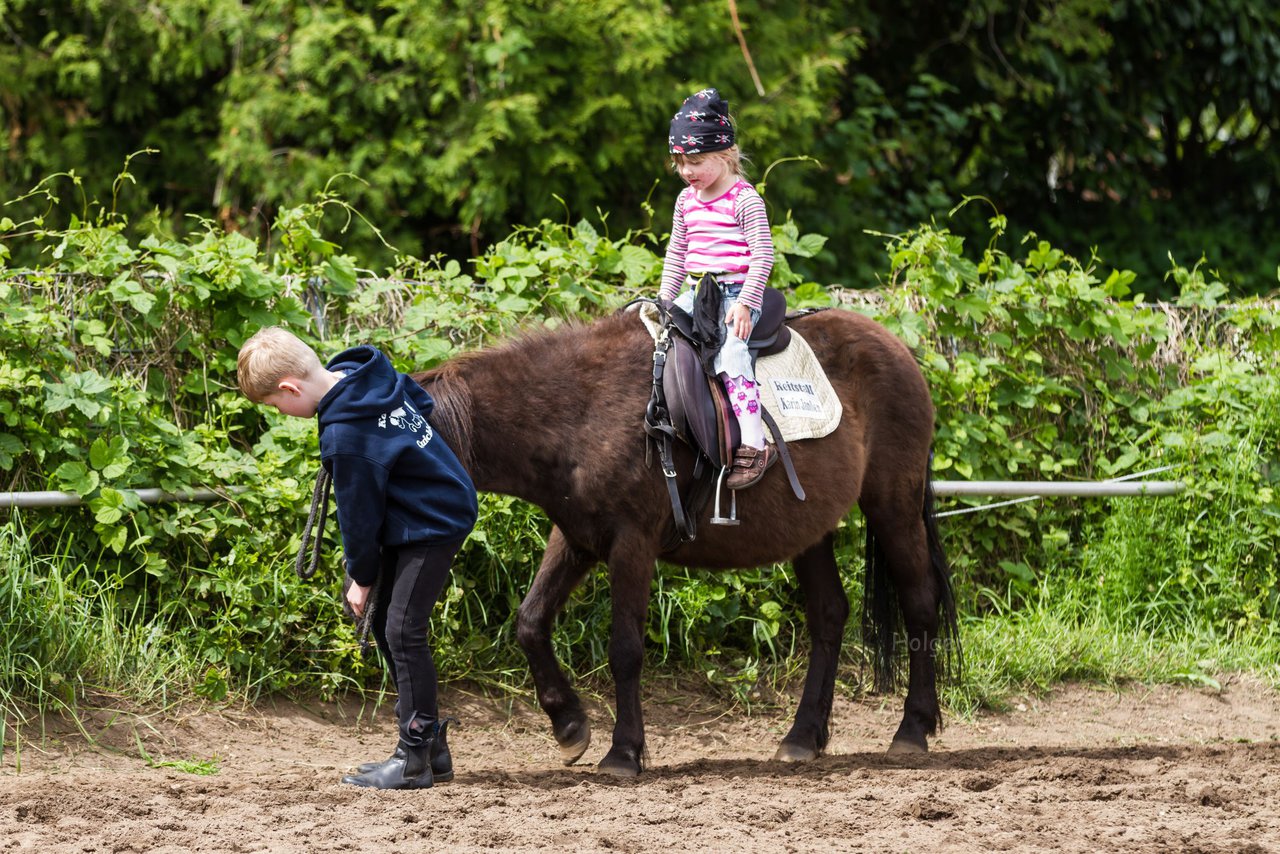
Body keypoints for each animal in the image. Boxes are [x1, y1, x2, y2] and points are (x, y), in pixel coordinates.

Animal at [419, 306, 962, 773]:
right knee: (829, 615)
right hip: (812, 528)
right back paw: (802, 738)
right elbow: (530, 622)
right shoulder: (576, 538)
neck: (580, 410)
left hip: (893, 505)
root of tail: (897, 347)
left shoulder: (632, 543)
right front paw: (570, 726)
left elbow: (625, 649)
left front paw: (624, 753)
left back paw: (912, 730)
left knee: (920, 602)